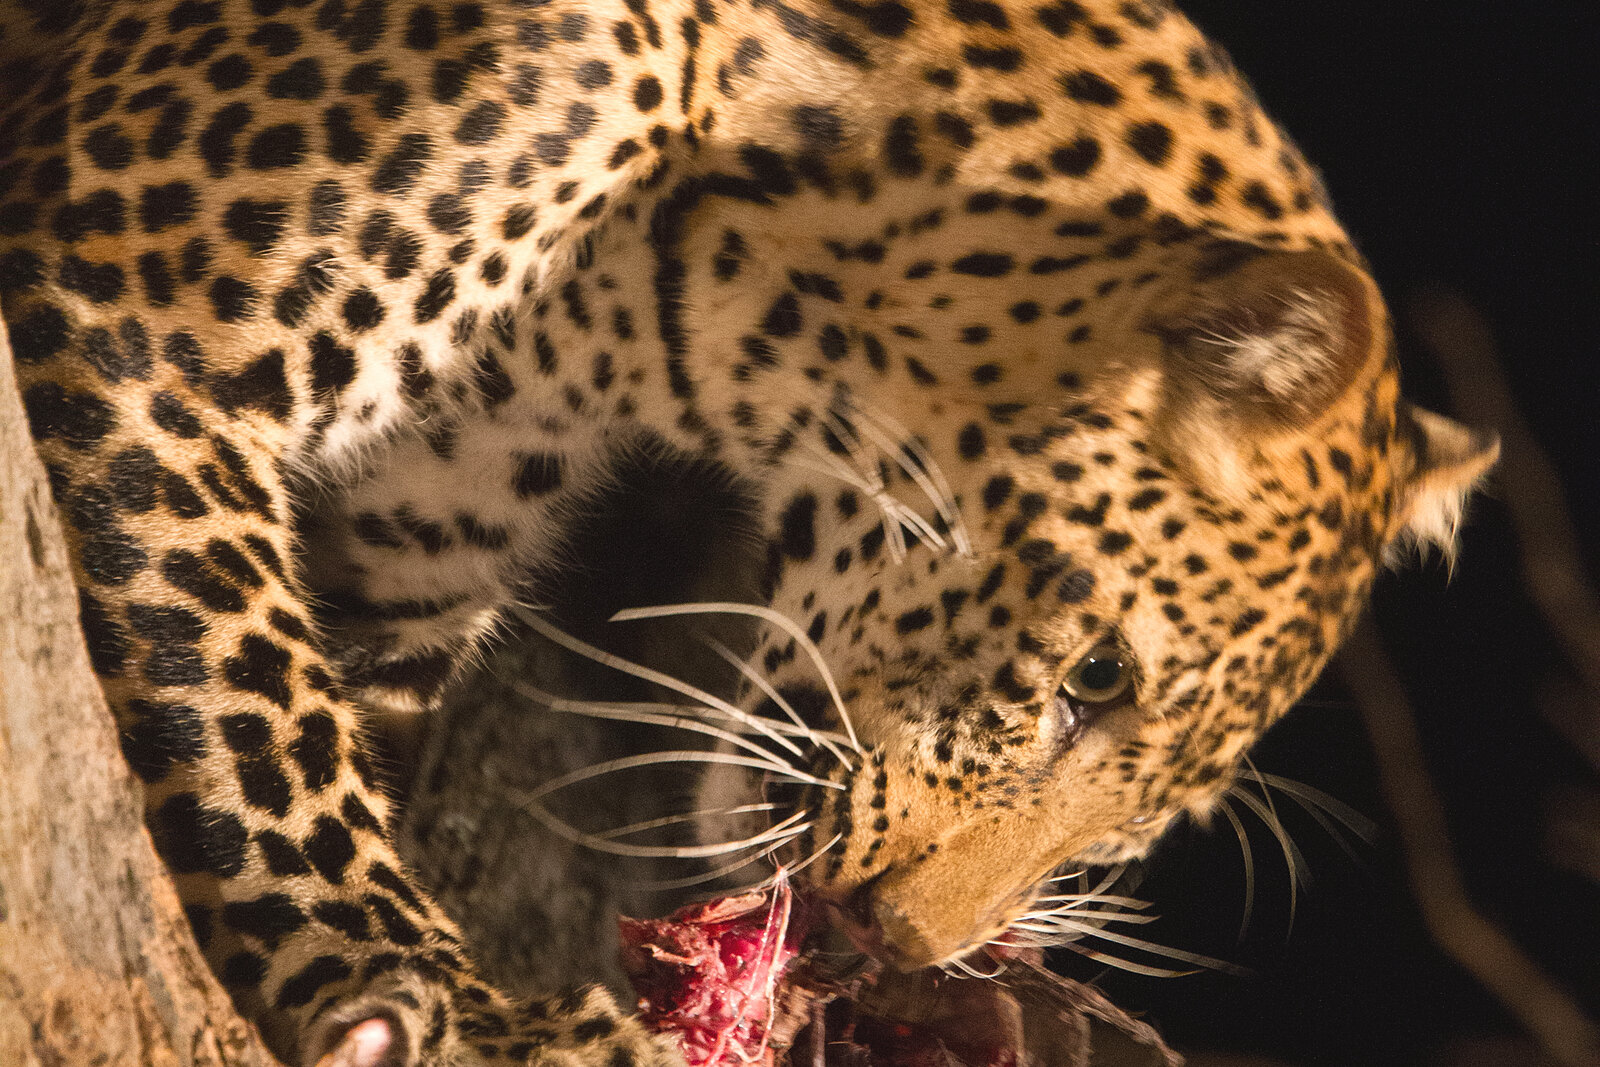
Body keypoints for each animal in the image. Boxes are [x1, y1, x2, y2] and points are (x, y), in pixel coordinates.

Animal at [0, 0, 1499, 1063]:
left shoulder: (406, 559)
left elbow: (322, 718)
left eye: (1147, 816)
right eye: (1092, 677)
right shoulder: (143, 316)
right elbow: (266, 721)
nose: (892, 943)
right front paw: (452, 999)